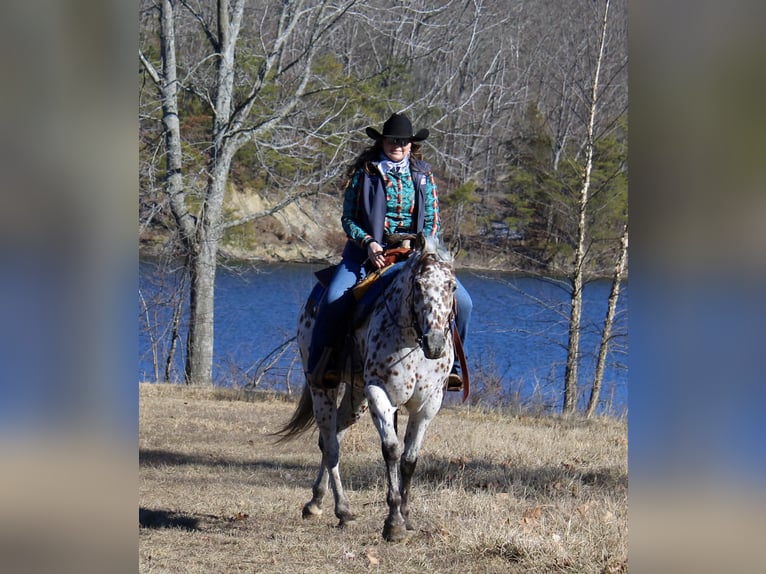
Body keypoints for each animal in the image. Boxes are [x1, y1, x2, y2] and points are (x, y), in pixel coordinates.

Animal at [276, 234, 456, 544]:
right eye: (418, 285)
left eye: (452, 286)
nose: (435, 343)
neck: (411, 340)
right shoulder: (379, 393)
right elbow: (392, 450)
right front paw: (393, 521)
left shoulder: (428, 404)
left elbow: (410, 459)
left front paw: (406, 516)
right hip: (323, 388)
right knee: (331, 445)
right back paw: (342, 510)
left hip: (356, 398)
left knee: (332, 437)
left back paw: (316, 502)